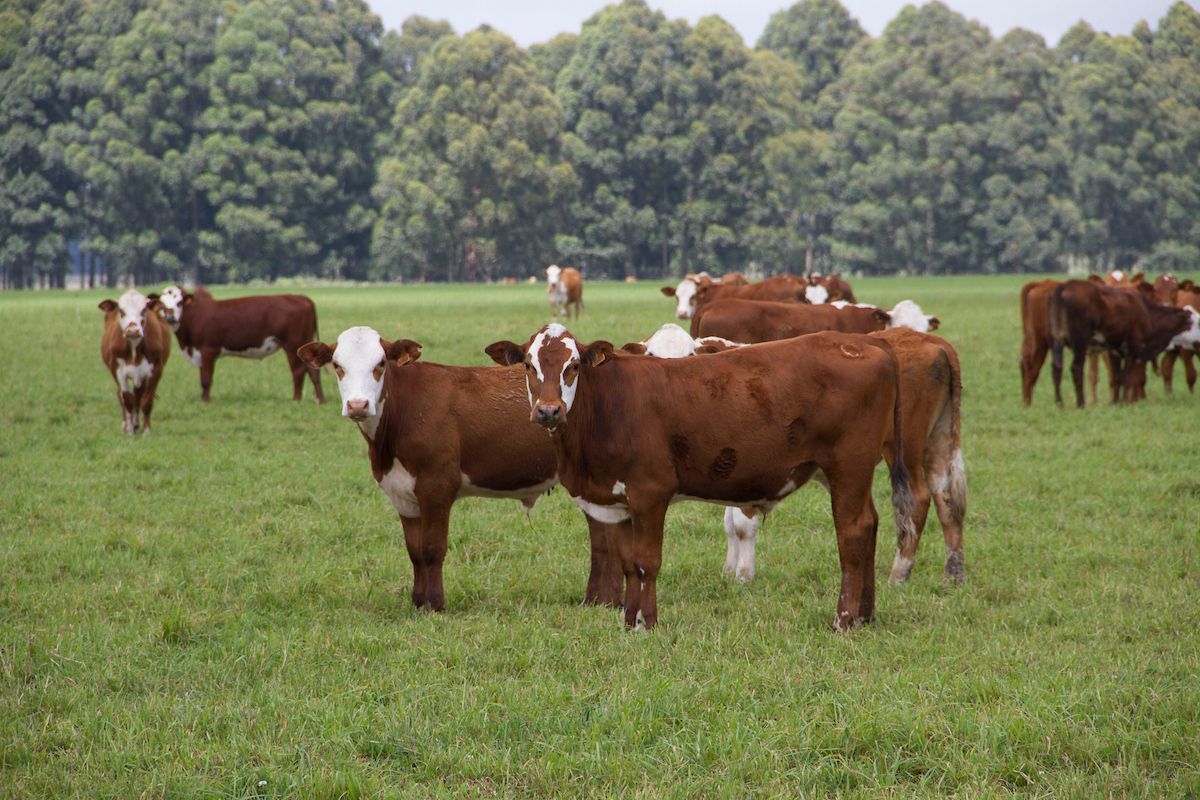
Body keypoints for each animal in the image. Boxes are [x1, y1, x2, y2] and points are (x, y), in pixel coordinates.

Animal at [99, 289, 171, 434]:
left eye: (143, 310)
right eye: (121, 311)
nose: (133, 330)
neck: (134, 348)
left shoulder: (156, 369)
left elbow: (146, 400)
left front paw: (147, 430)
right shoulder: (117, 369)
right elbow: (127, 399)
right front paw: (130, 430)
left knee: (138, 396)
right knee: (122, 396)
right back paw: (126, 424)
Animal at [150, 284, 324, 402]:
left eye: (179, 302)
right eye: (162, 304)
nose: (170, 317)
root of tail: (301, 297)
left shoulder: (208, 350)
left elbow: (206, 379)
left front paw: (206, 401)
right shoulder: (200, 353)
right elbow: (203, 378)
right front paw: (203, 399)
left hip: (293, 344)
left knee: (298, 371)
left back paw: (296, 399)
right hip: (305, 343)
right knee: (313, 371)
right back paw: (320, 400)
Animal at [298, 326, 624, 614]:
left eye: (379, 364)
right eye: (337, 366)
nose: (358, 405)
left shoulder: (437, 486)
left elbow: (432, 549)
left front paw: (434, 605)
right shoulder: (402, 493)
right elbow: (415, 551)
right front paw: (417, 602)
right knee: (602, 537)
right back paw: (599, 601)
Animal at [487, 321, 916, 633]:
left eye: (573, 366)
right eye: (528, 365)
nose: (548, 411)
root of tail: (864, 342)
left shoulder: (650, 493)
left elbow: (646, 562)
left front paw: (647, 623)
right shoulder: (620, 500)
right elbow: (626, 565)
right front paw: (628, 622)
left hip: (849, 463)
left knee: (853, 532)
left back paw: (843, 620)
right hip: (844, 470)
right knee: (870, 525)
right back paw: (866, 615)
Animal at [1051, 280, 1190, 407]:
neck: (1146, 312)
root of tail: (1067, 285)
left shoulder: (1114, 352)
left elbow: (1117, 377)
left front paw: (1115, 402)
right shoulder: (1132, 349)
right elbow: (1127, 377)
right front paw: (1125, 402)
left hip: (1057, 340)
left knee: (1057, 368)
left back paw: (1059, 403)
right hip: (1080, 344)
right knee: (1076, 368)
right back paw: (1081, 404)